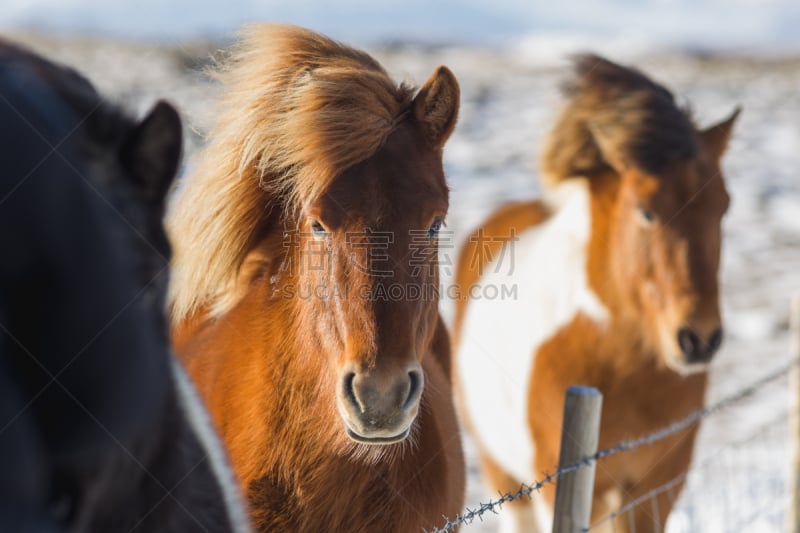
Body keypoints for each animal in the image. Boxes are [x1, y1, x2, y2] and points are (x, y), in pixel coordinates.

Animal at [454, 55, 740, 532]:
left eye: (723, 207)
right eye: (646, 211)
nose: (699, 338)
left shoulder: (656, 488)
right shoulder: (555, 485)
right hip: (506, 478)